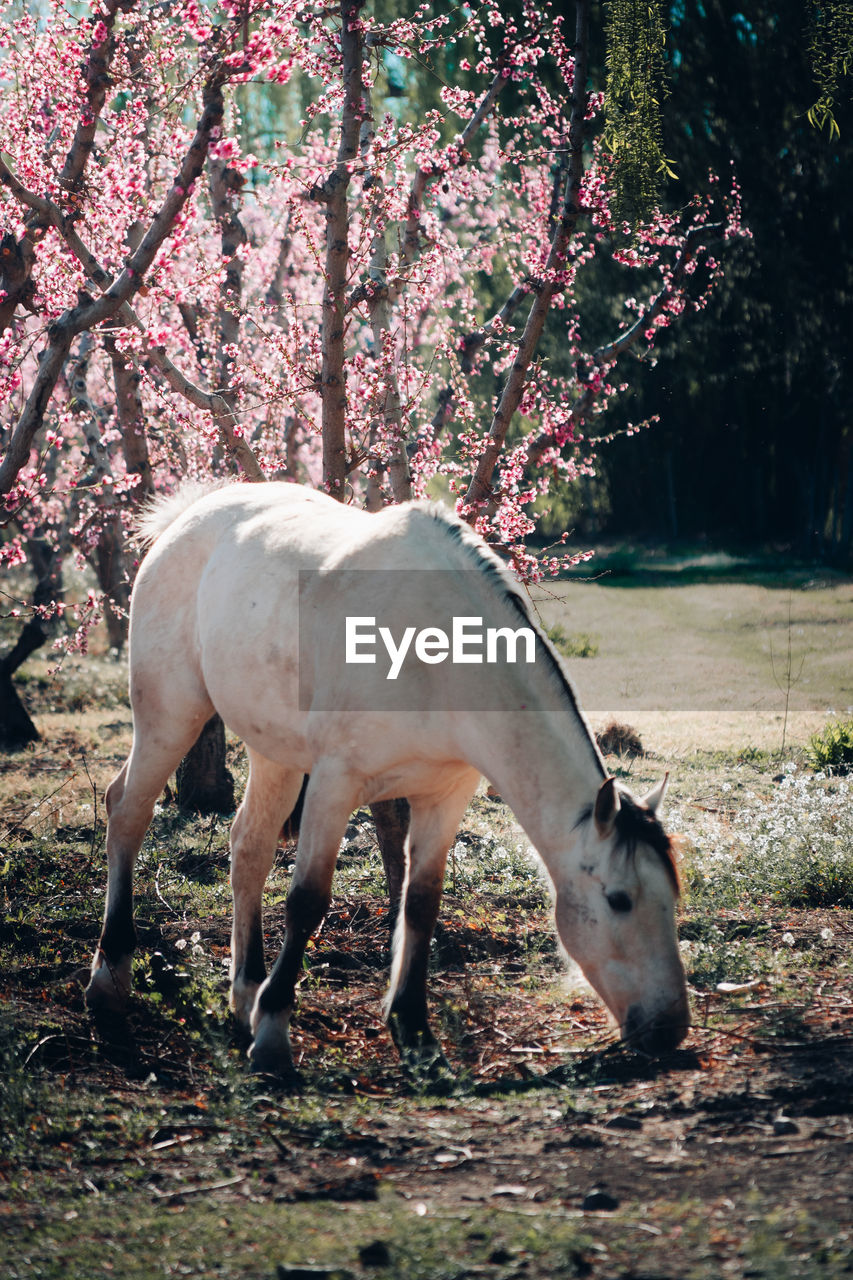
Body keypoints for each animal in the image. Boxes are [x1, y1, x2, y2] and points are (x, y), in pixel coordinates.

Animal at [84, 483, 686, 1075]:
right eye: (619, 900)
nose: (669, 1029)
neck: (438, 655)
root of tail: (188, 517)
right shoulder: (335, 785)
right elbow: (307, 900)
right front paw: (275, 1034)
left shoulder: (445, 795)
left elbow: (420, 901)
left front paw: (414, 1030)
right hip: (171, 717)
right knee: (128, 811)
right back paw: (110, 977)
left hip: (274, 752)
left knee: (248, 847)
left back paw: (245, 995)